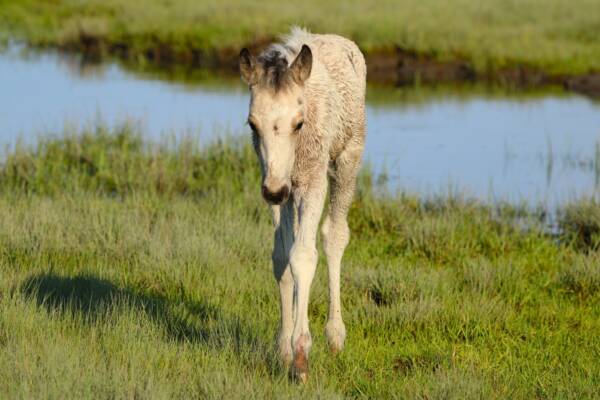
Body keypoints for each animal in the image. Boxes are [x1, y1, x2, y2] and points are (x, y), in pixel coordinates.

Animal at [239, 28, 366, 382]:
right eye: (252, 124)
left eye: (298, 123)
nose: (275, 191)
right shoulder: (273, 185)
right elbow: (282, 257)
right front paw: (283, 348)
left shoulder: (312, 182)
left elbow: (305, 257)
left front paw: (300, 357)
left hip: (347, 159)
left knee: (334, 235)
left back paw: (335, 336)